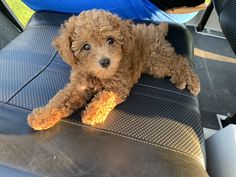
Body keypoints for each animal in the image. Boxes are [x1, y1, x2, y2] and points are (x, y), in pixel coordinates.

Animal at [28, 9, 201, 130]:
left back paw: (191, 82)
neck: (98, 75)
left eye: (110, 40)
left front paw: (92, 112)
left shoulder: (118, 86)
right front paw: (41, 117)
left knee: (179, 61)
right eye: (86, 47)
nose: (105, 62)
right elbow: (59, 100)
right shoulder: (78, 86)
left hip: (156, 61)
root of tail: (156, 29)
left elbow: (105, 97)